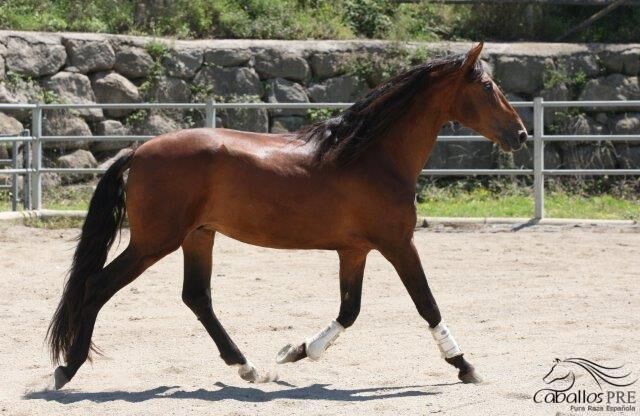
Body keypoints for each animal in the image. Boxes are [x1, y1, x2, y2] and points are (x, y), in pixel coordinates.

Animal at [47, 43, 528, 390]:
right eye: (488, 87)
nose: (521, 135)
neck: (372, 155)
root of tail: (139, 150)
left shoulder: (355, 251)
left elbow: (349, 310)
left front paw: (295, 352)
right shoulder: (398, 244)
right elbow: (427, 304)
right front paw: (465, 365)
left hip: (198, 236)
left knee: (197, 297)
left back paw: (248, 367)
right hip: (153, 243)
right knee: (97, 287)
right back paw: (68, 369)